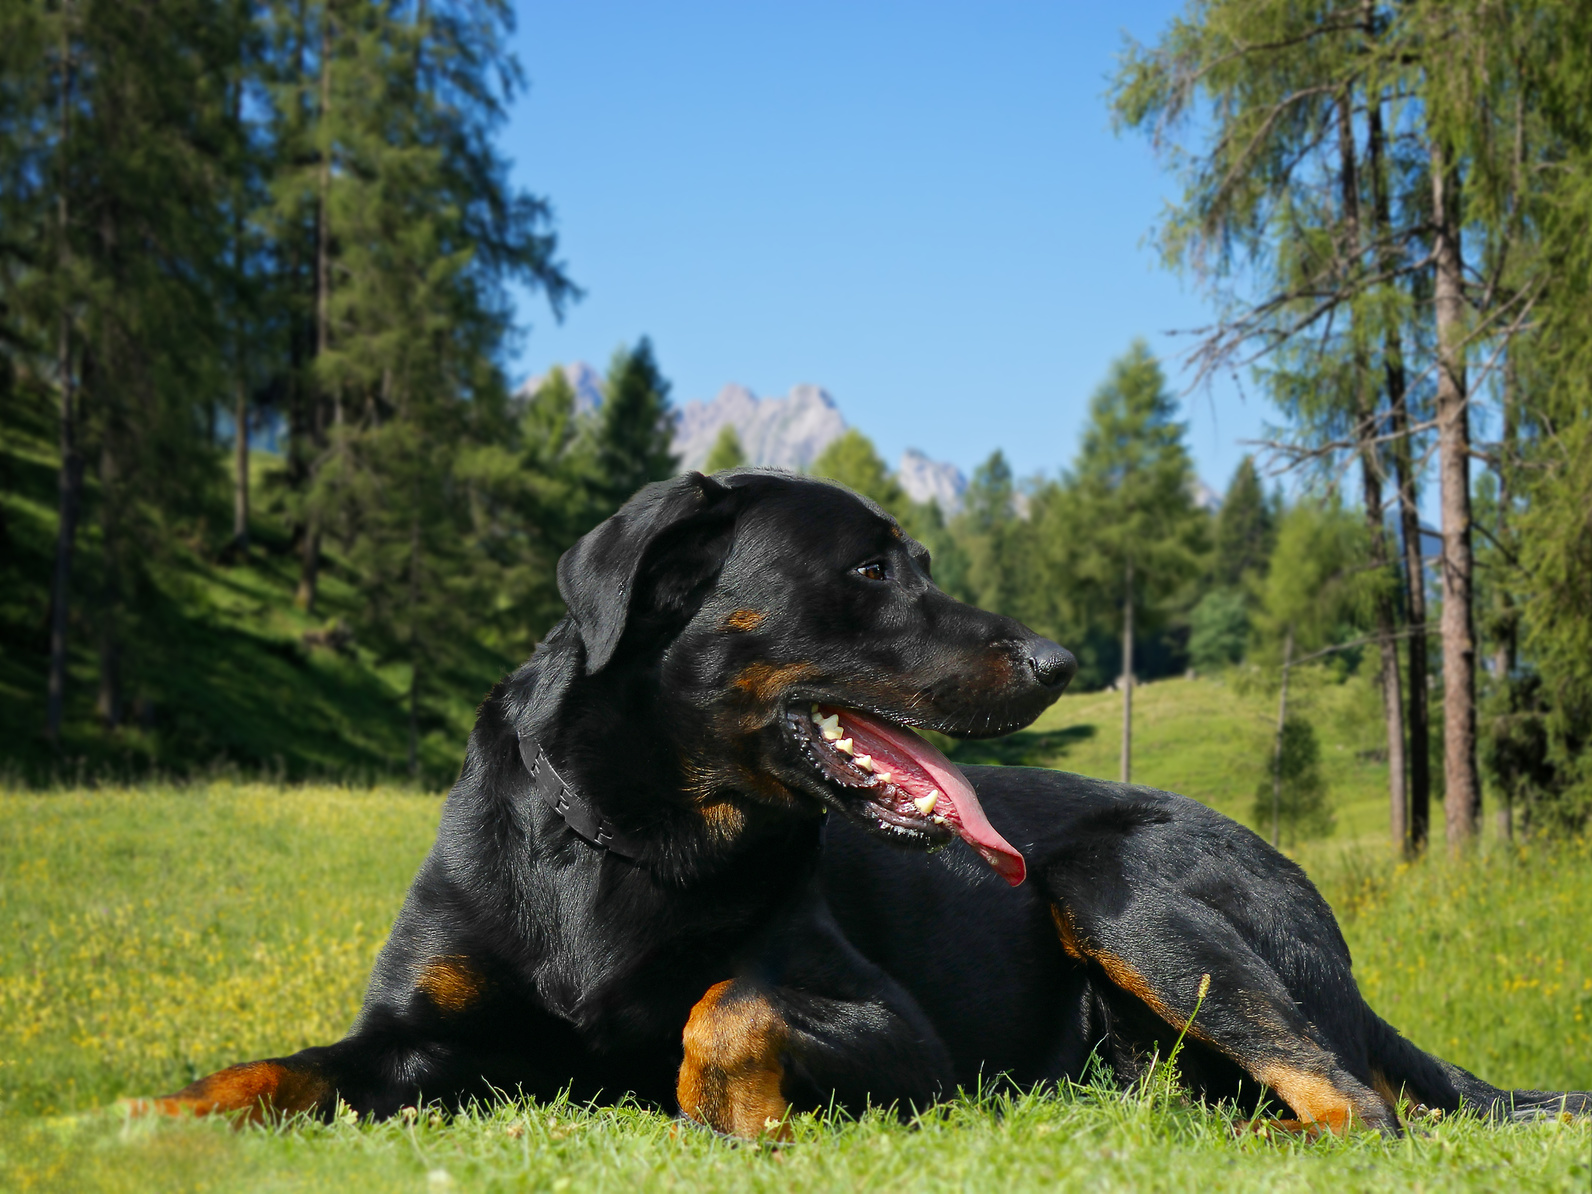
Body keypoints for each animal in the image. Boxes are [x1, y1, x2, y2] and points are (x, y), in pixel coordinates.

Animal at [143, 471, 1585, 1139]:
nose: (1063, 659)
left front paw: (731, 1110)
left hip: (1118, 885)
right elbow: (271, 1066)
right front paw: (148, 1115)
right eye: (873, 569)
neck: (633, 834)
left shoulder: (905, 1040)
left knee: (1356, 1100)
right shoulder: (409, 1036)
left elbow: (725, 1005)